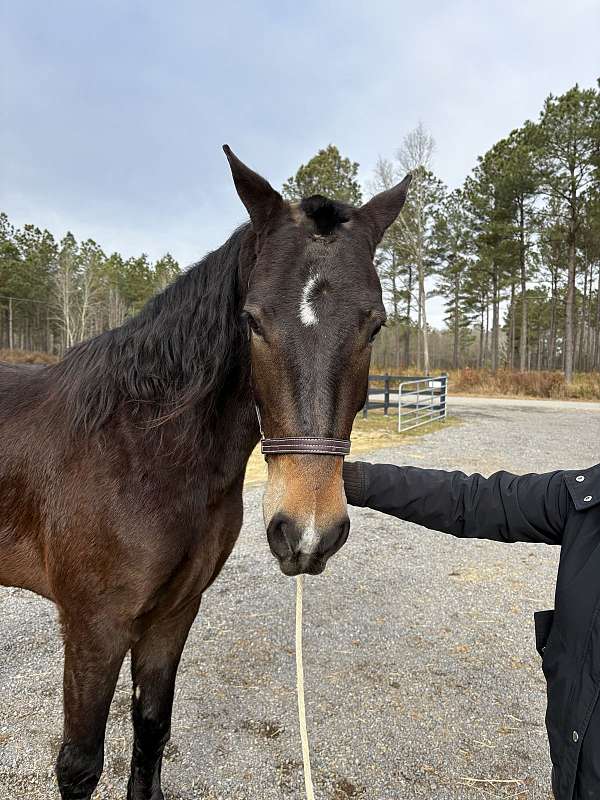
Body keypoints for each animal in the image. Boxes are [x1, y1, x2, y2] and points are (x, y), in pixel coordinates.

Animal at [0, 147, 410, 796]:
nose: (307, 531)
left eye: (374, 325)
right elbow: (80, 763)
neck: (143, 451)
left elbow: (150, 735)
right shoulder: (95, 625)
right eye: (253, 321)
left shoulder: (173, 613)